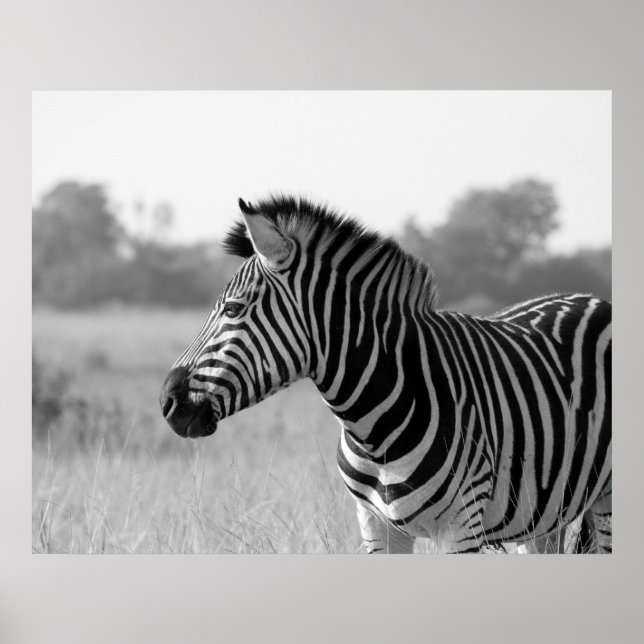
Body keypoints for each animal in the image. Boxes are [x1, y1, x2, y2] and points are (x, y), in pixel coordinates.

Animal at [159, 195, 611, 554]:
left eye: (233, 309)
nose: (166, 402)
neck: (374, 428)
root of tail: (592, 298)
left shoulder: (462, 528)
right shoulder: (375, 524)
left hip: (606, 500)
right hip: (543, 514)